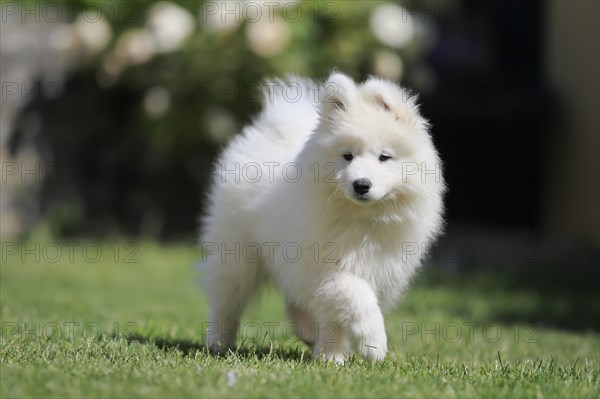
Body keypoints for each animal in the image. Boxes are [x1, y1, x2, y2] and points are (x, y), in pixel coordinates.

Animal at [202, 71, 446, 362]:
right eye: (347, 156)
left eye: (384, 157)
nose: (361, 184)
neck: (361, 219)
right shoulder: (321, 267)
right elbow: (357, 296)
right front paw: (372, 344)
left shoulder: (378, 268)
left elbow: (336, 313)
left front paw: (331, 356)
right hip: (237, 254)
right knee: (226, 299)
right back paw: (219, 343)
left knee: (293, 299)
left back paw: (306, 332)